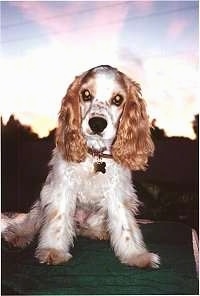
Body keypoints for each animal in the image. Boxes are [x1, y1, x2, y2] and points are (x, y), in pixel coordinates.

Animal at [1, 65, 159, 268]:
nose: (97, 123)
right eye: (85, 94)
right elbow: (58, 220)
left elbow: (125, 226)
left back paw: (99, 232)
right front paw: (53, 251)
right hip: (42, 201)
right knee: (31, 222)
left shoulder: (118, 193)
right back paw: (17, 236)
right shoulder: (62, 188)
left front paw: (136, 256)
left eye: (118, 99)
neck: (95, 156)